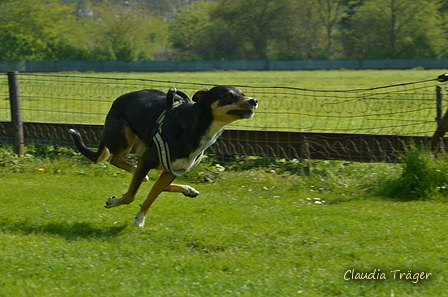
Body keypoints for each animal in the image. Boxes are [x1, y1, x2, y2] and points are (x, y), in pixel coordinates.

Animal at [70, 85, 260, 227]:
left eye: (243, 94)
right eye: (229, 96)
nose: (254, 101)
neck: (195, 126)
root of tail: (115, 103)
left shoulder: (172, 169)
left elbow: (151, 196)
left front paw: (140, 217)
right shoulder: (148, 160)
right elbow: (131, 195)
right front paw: (115, 202)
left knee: (149, 179)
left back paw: (186, 189)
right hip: (124, 134)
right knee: (116, 159)